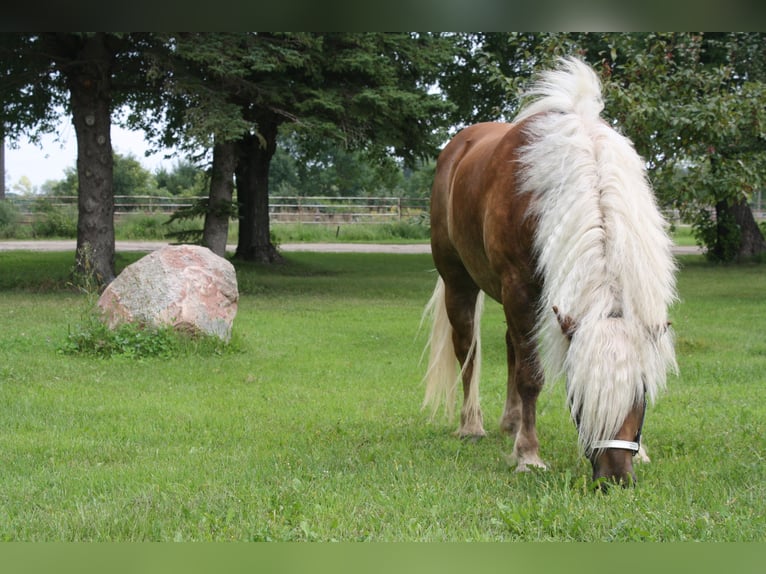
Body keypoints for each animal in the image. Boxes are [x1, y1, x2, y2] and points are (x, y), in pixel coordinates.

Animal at [424, 58, 680, 488]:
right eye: (579, 394)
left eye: (641, 393)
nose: (615, 477)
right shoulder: (519, 290)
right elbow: (531, 376)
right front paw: (529, 455)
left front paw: (642, 451)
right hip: (460, 282)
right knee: (467, 348)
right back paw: (472, 425)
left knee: (510, 345)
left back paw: (510, 423)